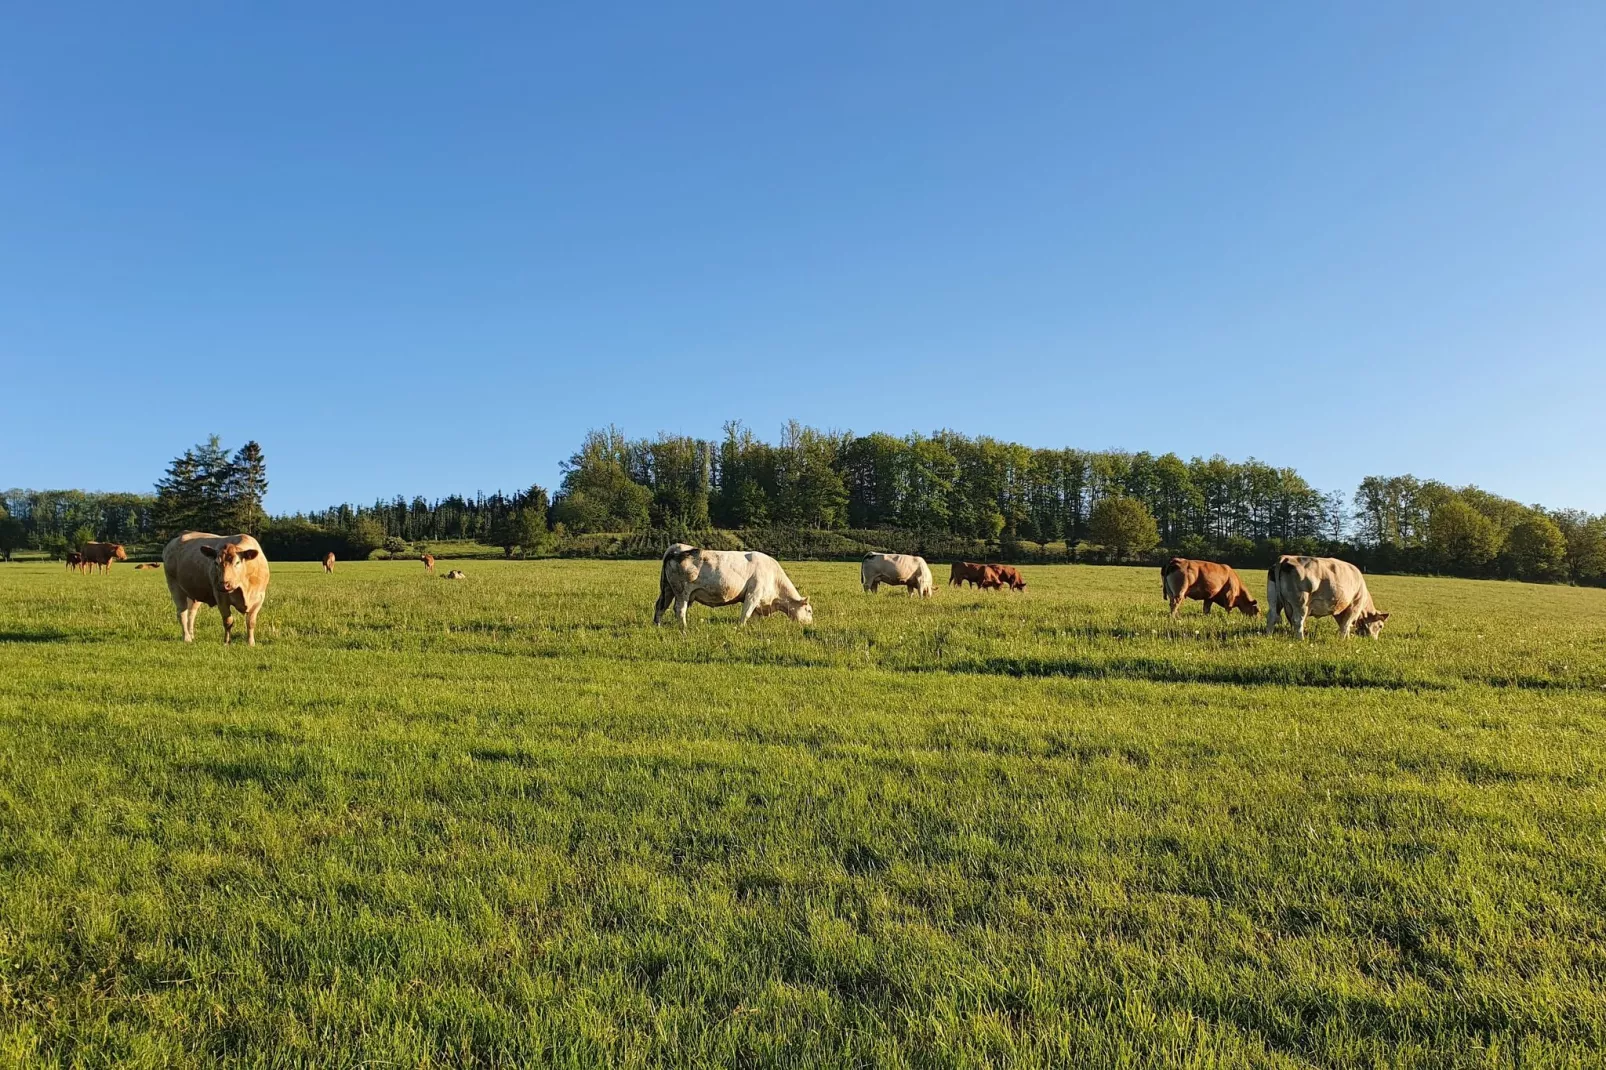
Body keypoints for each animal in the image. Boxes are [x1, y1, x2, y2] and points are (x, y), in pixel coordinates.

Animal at [655, 546, 809, 629]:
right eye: (809, 611)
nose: (810, 624)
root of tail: (677, 547)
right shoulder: (753, 594)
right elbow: (746, 613)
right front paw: (740, 628)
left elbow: (754, 616)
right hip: (682, 592)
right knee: (679, 609)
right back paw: (684, 628)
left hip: (668, 590)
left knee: (660, 606)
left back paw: (657, 625)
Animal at [1265, 552, 1394, 636]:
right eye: (1381, 626)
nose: (1373, 639)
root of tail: (1285, 558)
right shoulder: (1354, 606)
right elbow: (1346, 625)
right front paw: (1343, 640)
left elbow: (1343, 625)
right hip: (1301, 602)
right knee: (1297, 620)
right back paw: (1300, 639)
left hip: (1274, 599)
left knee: (1272, 616)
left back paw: (1269, 636)